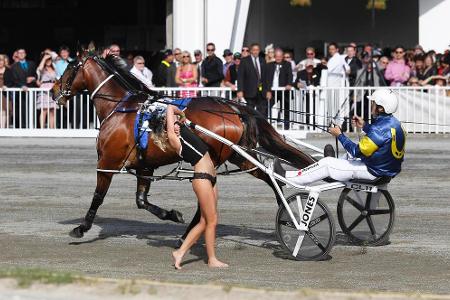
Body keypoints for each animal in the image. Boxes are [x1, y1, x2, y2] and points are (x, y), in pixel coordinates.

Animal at [52, 50, 314, 240]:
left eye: (70, 67)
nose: (54, 91)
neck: (120, 108)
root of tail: (232, 107)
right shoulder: (144, 166)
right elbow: (141, 201)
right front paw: (172, 214)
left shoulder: (108, 162)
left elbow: (98, 196)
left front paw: (82, 227)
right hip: (239, 156)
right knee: (269, 177)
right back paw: (288, 212)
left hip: (212, 157)